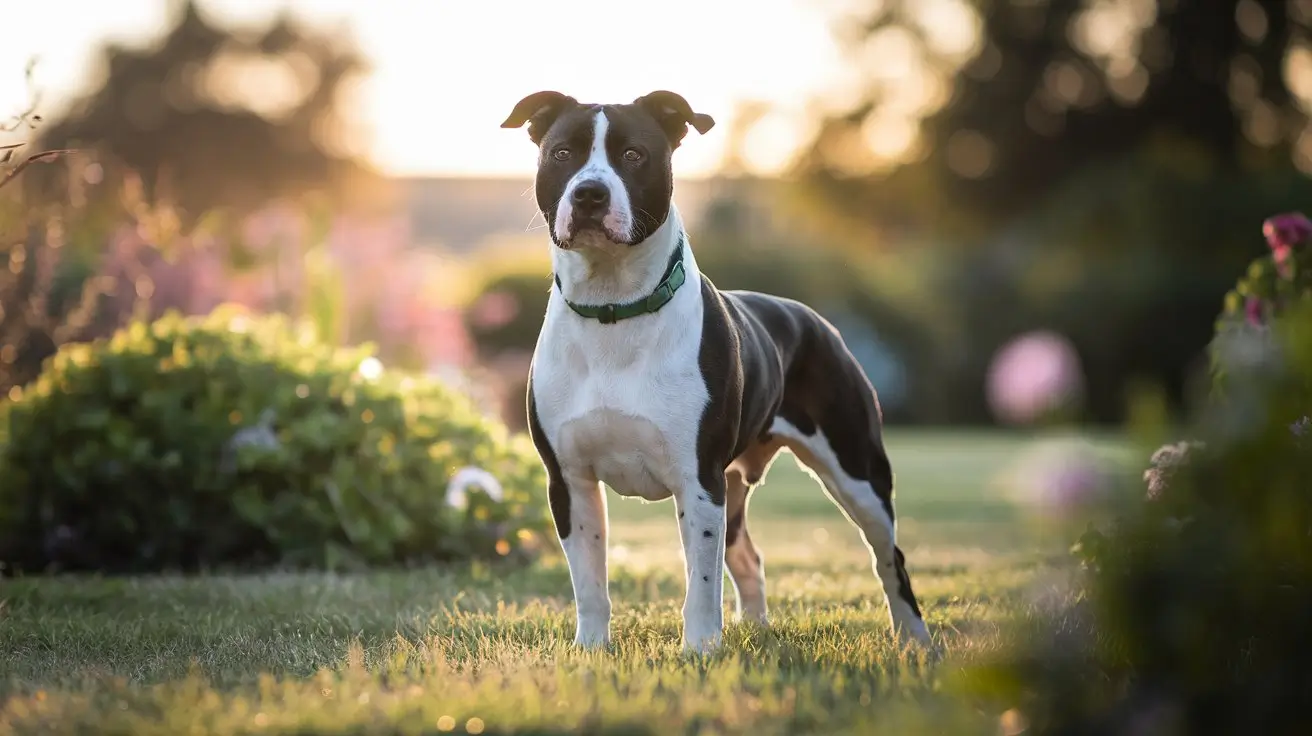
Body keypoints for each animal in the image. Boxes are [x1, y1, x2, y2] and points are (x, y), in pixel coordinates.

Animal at [501, 90, 934, 648]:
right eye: (562, 154)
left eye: (634, 155)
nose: (590, 194)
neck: (613, 307)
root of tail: (816, 320)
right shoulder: (570, 480)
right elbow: (589, 580)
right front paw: (591, 648)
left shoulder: (699, 478)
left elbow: (701, 583)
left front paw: (701, 649)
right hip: (738, 485)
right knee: (748, 555)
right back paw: (757, 627)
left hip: (859, 471)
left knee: (888, 557)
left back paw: (914, 640)